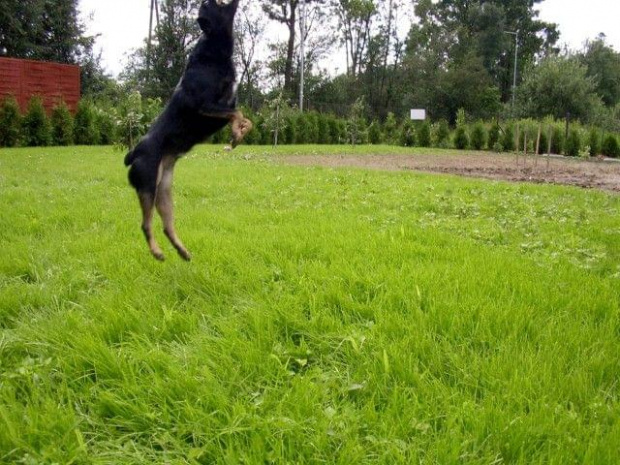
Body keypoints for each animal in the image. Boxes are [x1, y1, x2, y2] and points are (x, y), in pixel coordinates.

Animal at [123, 0, 252, 260]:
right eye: (214, 5)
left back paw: (182, 251)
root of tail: (134, 152)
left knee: (166, 225)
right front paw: (236, 134)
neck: (213, 51)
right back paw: (157, 252)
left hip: (164, 190)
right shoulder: (204, 106)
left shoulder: (225, 105)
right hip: (148, 185)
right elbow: (237, 113)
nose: (204, 1)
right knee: (146, 224)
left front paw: (238, 135)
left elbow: (245, 117)